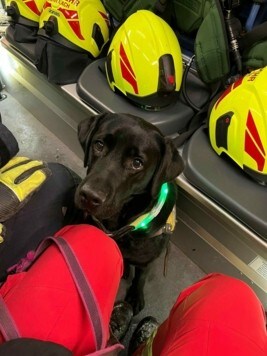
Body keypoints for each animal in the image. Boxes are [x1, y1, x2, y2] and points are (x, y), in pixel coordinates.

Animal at [73, 112, 184, 312]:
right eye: (99, 145)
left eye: (137, 163)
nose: (89, 196)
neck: (118, 226)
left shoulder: (146, 261)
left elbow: (141, 278)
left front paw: (135, 296)